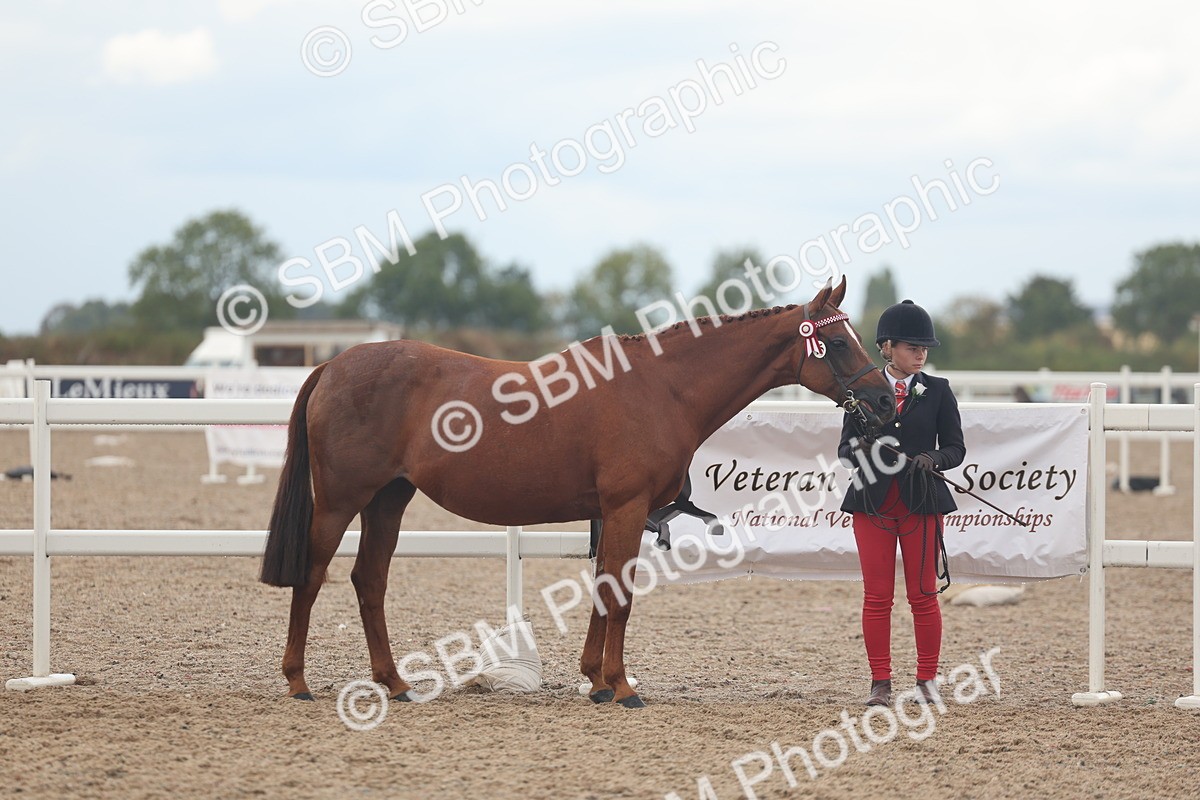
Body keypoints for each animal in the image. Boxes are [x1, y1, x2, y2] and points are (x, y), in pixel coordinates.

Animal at [259, 276, 894, 708]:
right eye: (839, 344)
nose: (887, 401)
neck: (661, 387)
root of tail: (334, 365)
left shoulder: (613, 513)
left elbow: (603, 587)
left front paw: (596, 680)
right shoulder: (627, 508)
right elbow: (621, 595)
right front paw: (621, 686)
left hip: (388, 499)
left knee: (370, 580)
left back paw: (394, 683)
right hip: (341, 500)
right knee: (313, 575)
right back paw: (298, 680)